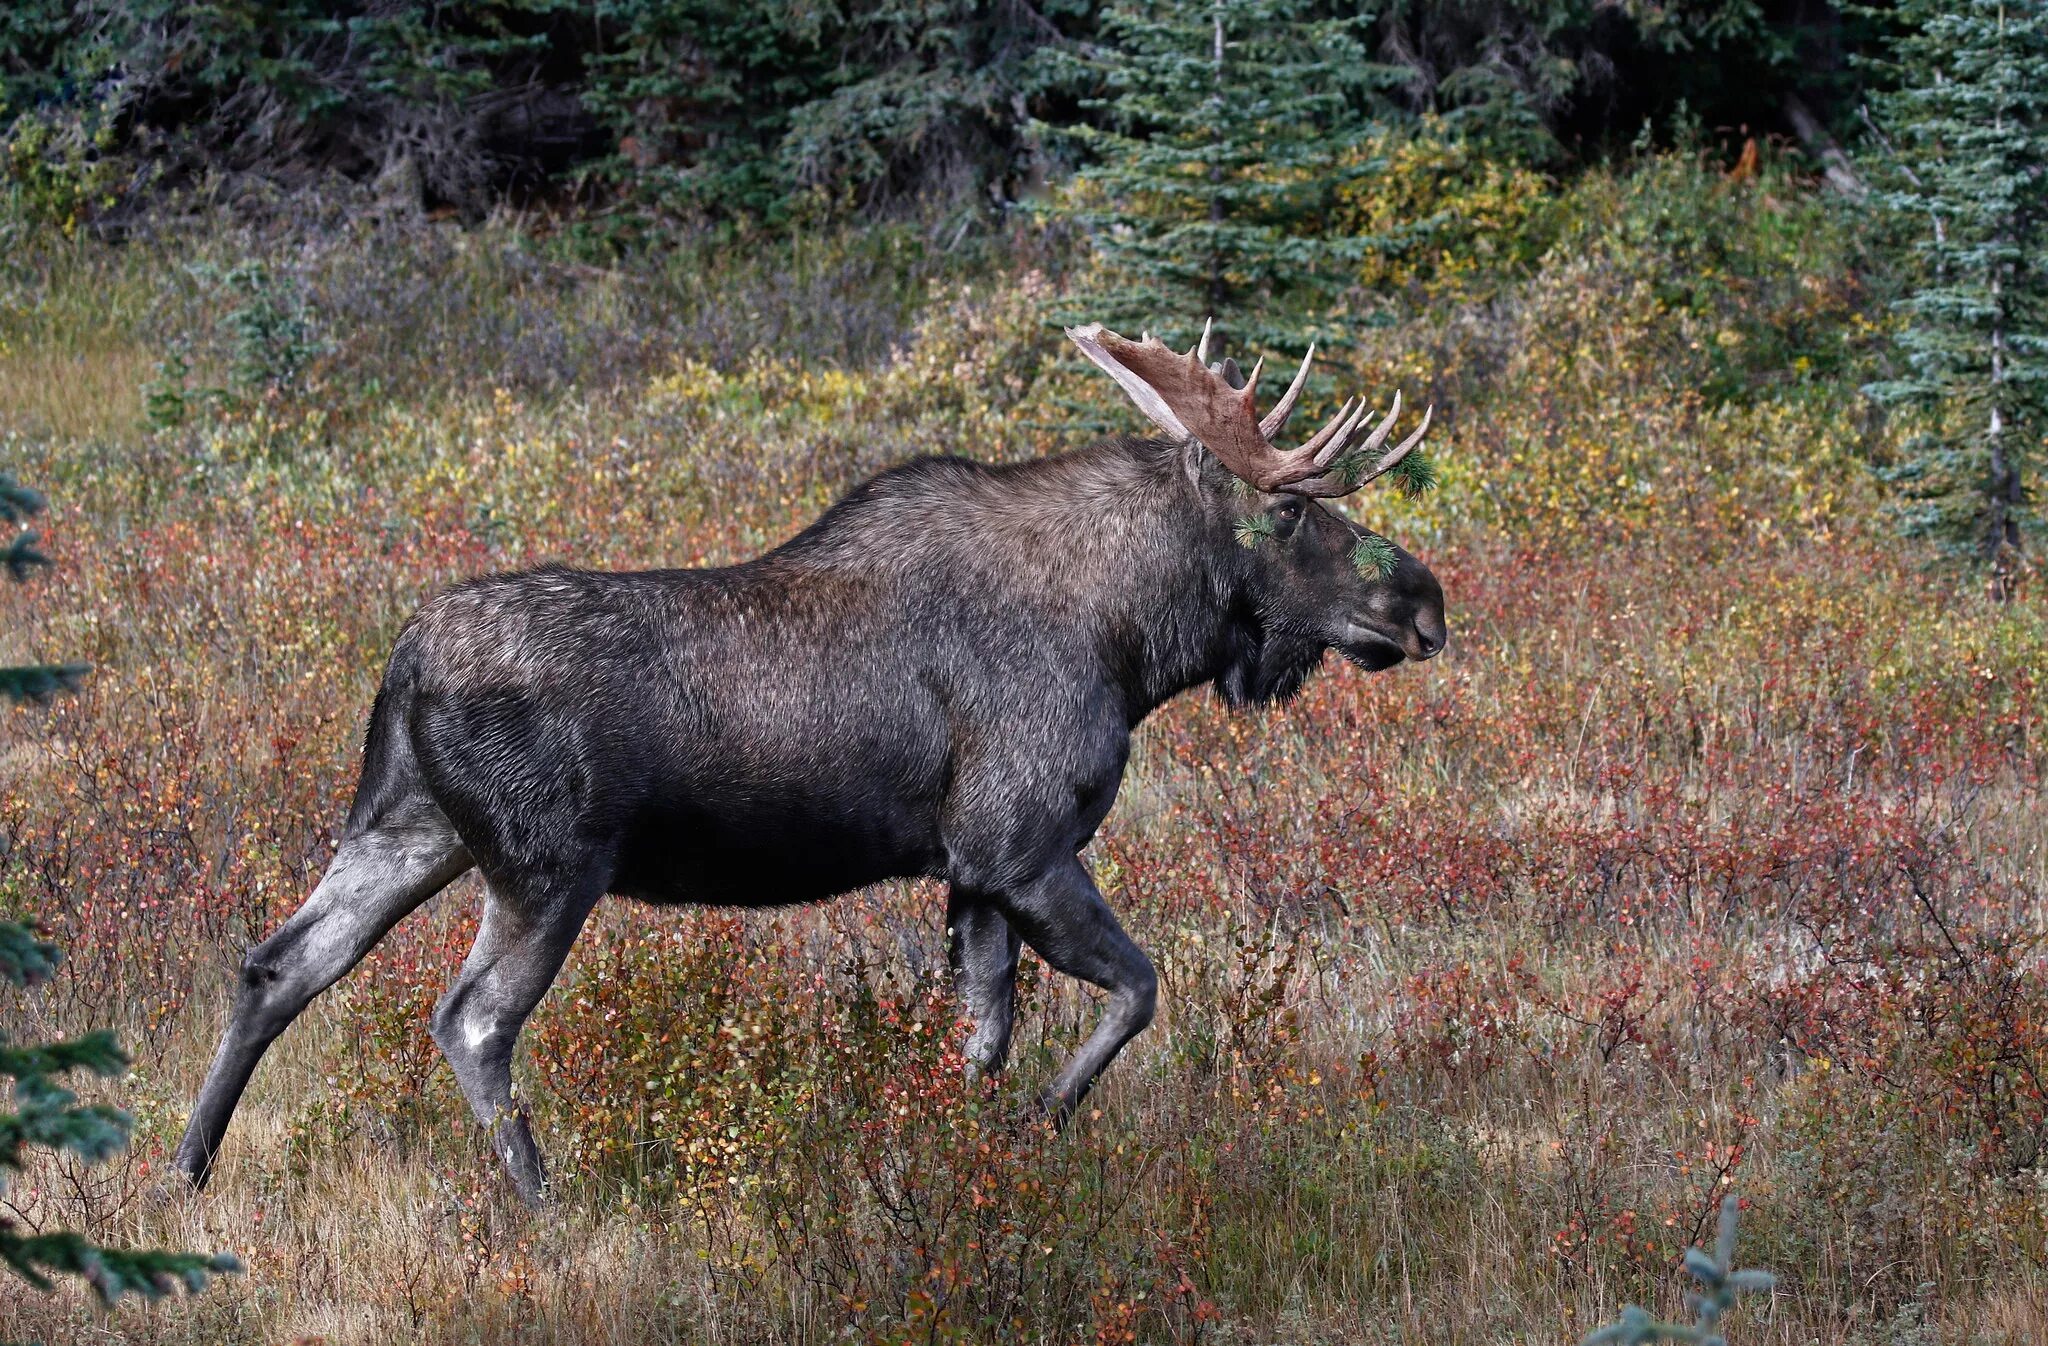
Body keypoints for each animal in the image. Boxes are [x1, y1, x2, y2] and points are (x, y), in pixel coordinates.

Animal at [180, 319, 1458, 1204]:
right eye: (1289, 512)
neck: (1132, 641)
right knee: (472, 1018)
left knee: (279, 964)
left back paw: (186, 1169)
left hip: (407, 829)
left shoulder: (968, 872)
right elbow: (1134, 992)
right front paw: (1040, 1124)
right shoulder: (1021, 844)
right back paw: (544, 1200)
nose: (1424, 601)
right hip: (544, 867)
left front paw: (952, 1159)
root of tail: (400, 666)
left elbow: (978, 1036)